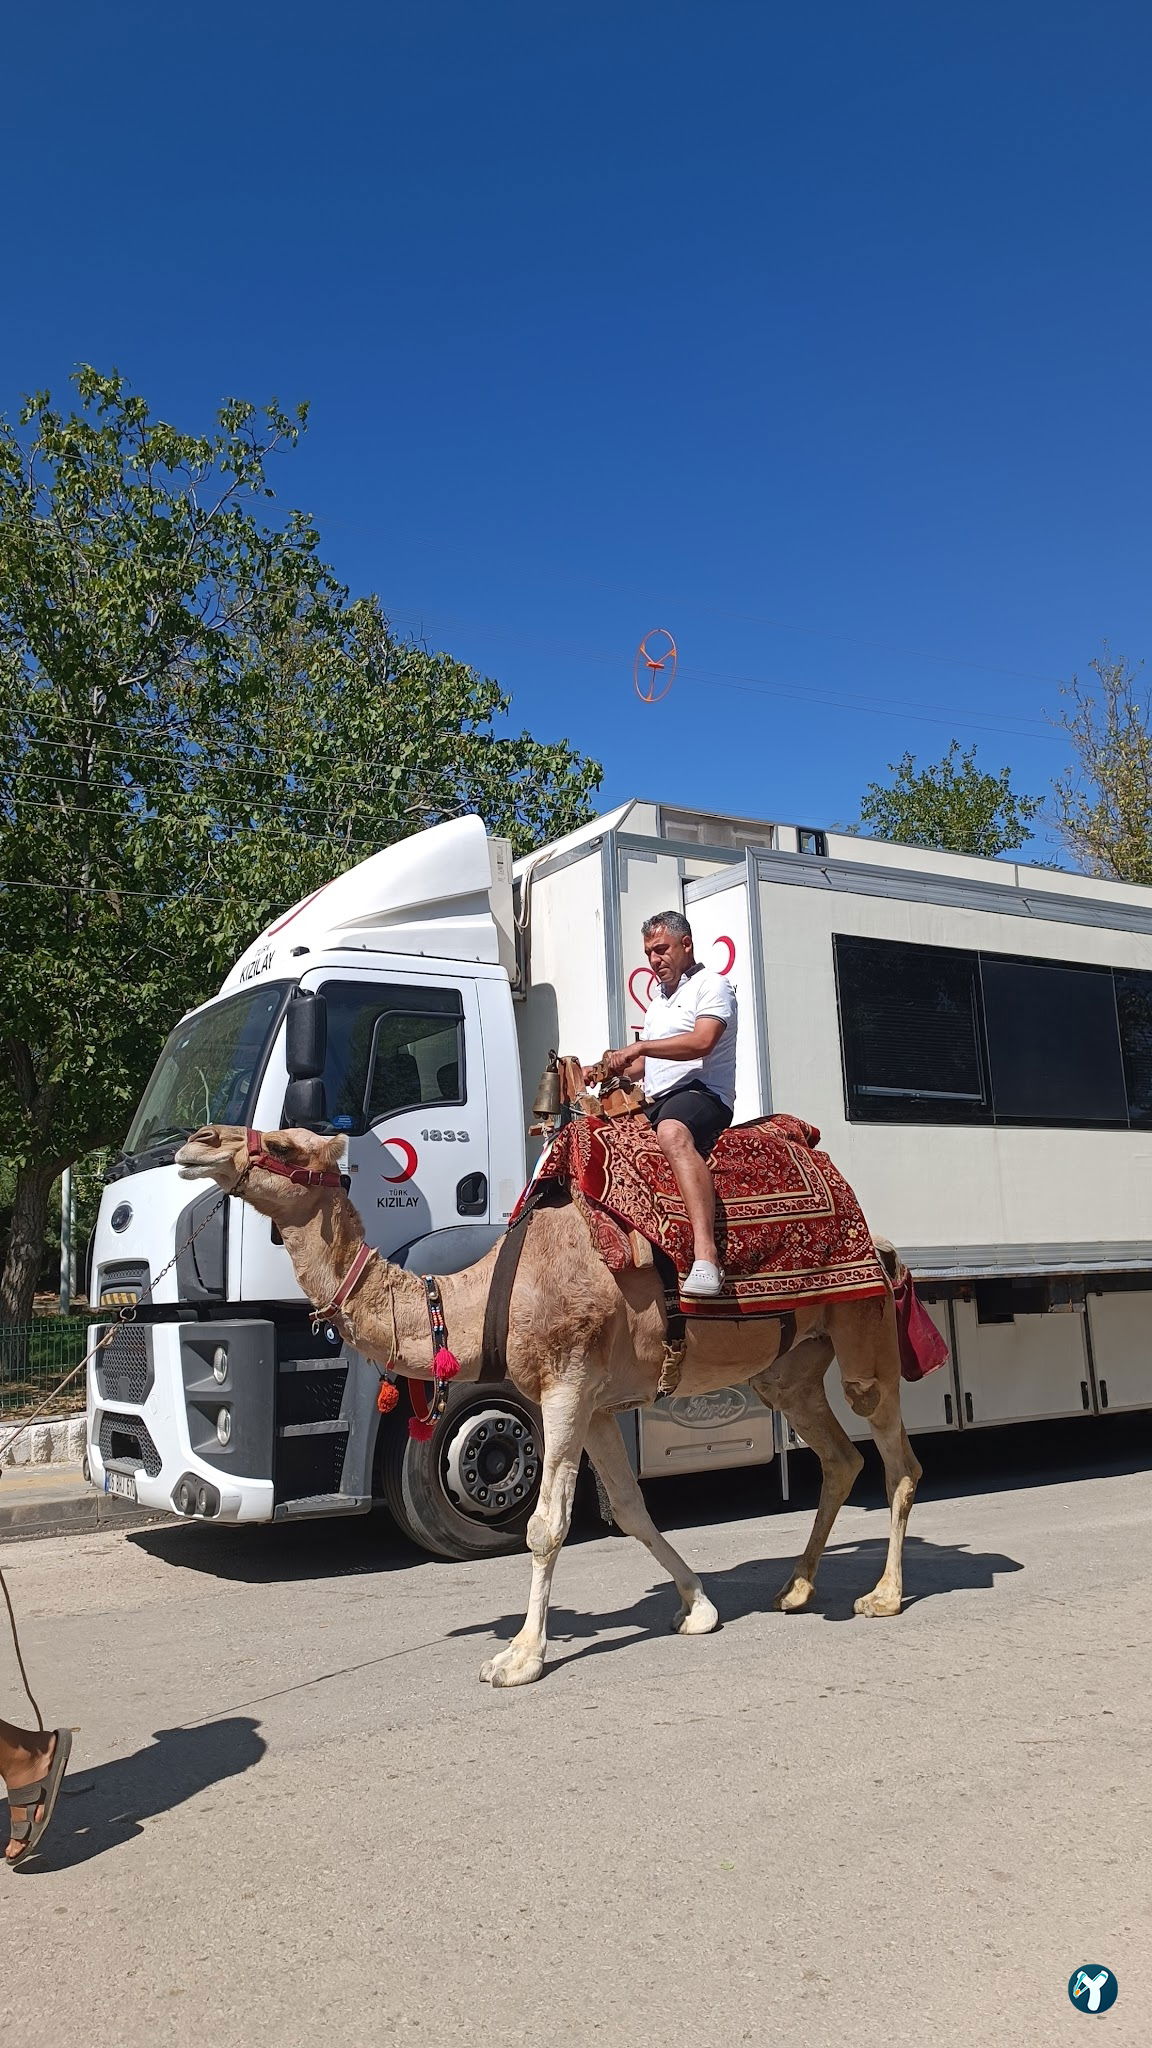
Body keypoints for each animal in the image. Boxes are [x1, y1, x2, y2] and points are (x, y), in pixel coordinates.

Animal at [175, 1130, 918, 1687]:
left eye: (282, 1142)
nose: (197, 1141)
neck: (479, 1298)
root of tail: (881, 1246)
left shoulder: (566, 1384)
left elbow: (545, 1526)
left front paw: (519, 1657)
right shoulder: (593, 1403)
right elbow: (630, 1510)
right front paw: (699, 1607)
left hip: (864, 1334)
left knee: (896, 1461)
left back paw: (883, 1595)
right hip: (788, 1371)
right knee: (840, 1457)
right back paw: (795, 1588)